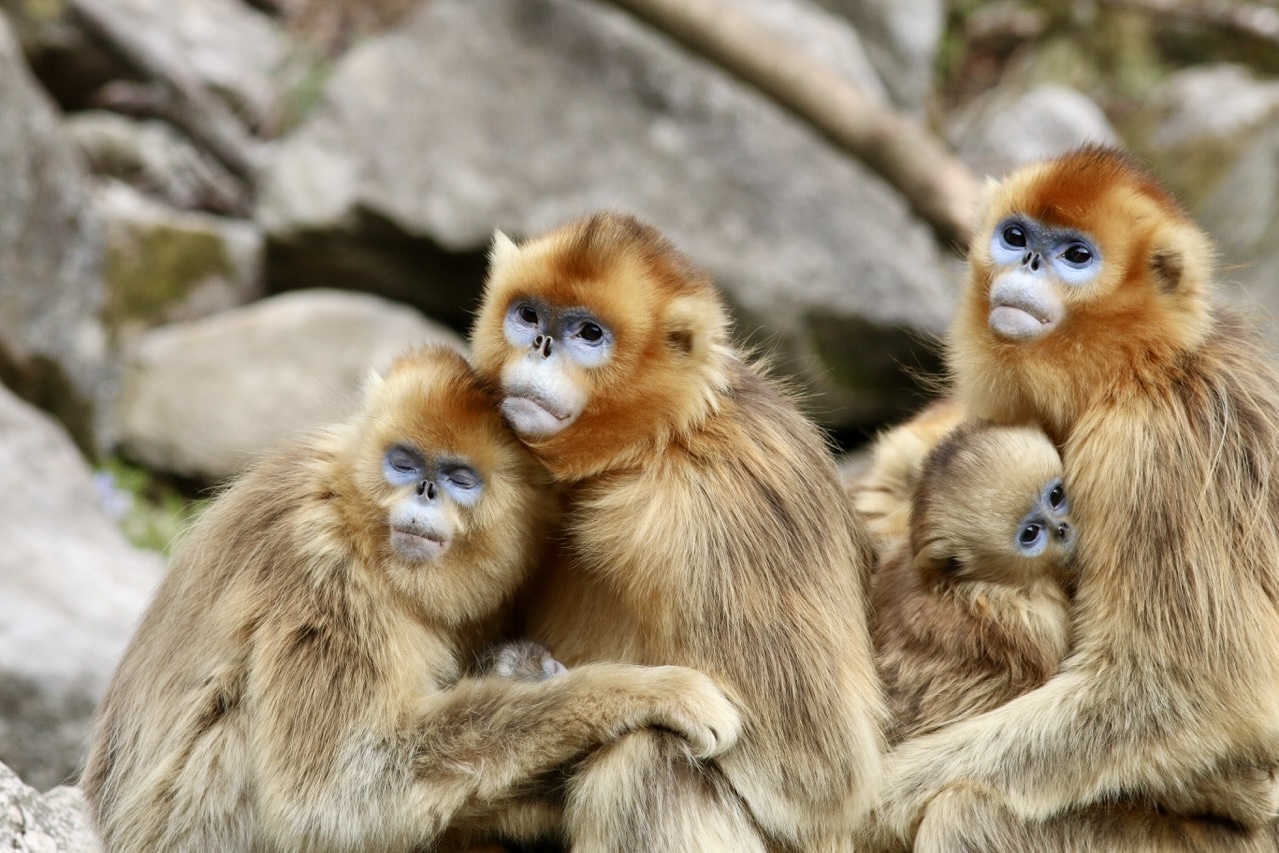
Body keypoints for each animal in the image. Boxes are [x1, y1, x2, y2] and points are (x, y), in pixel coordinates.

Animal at [80, 344, 743, 853]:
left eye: (458, 478)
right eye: (403, 463)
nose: (423, 490)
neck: (356, 521)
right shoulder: (323, 568)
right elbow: (333, 799)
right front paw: (652, 691)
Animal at [469, 212, 884, 852]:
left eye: (588, 334)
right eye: (529, 316)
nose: (539, 345)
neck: (659, 443)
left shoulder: (714, 509)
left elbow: (818, 777)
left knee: (645, 757)